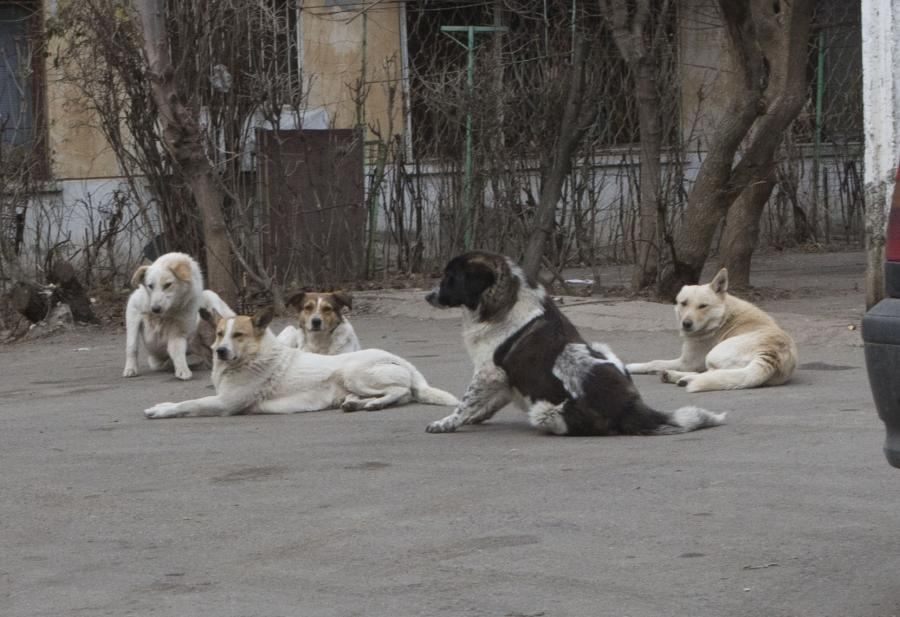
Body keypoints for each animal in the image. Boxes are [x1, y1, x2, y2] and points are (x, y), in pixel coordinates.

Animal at [123, 251, 236, 380]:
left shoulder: (178, 331)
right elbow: (132, 346)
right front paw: (130, 369)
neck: (169, 309)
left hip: (211, 297)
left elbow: (178, 352)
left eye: (167, 285)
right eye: (150, 286)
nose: (155, 309)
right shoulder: (133, 312)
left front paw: (182, 370)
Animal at [146, 306, 464, 418]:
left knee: (402, 391)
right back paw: (356, 403)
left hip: (353, 373)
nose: (220, 351)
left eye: (239, 335)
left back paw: (372, 404)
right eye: (220, 334)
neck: (251, 357)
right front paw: (162, 405)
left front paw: (162, 411)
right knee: (401, 394)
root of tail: (402, 360)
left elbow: (189, 404)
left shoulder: (226, 404)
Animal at [426, 253, 728, 436]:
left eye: (450, 279)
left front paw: (446, 423)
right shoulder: (505, 378)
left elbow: (466, 401)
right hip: (603, 348)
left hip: (545, 411)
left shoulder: (488, 371)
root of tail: (630, 406)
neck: (502, 301)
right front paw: (472, 418)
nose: (428, 296)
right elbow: (485, 402)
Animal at [624, 268, 800, 392]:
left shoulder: (686, 362)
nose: (686, 324)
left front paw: (629, 367)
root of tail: (771, 353)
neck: (721, 317)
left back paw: (680, 377)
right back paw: (679, 378)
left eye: (703, 306)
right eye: (683, 303)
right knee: (714, 374)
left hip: (712, 355)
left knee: (711, 373)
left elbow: (654, 362)